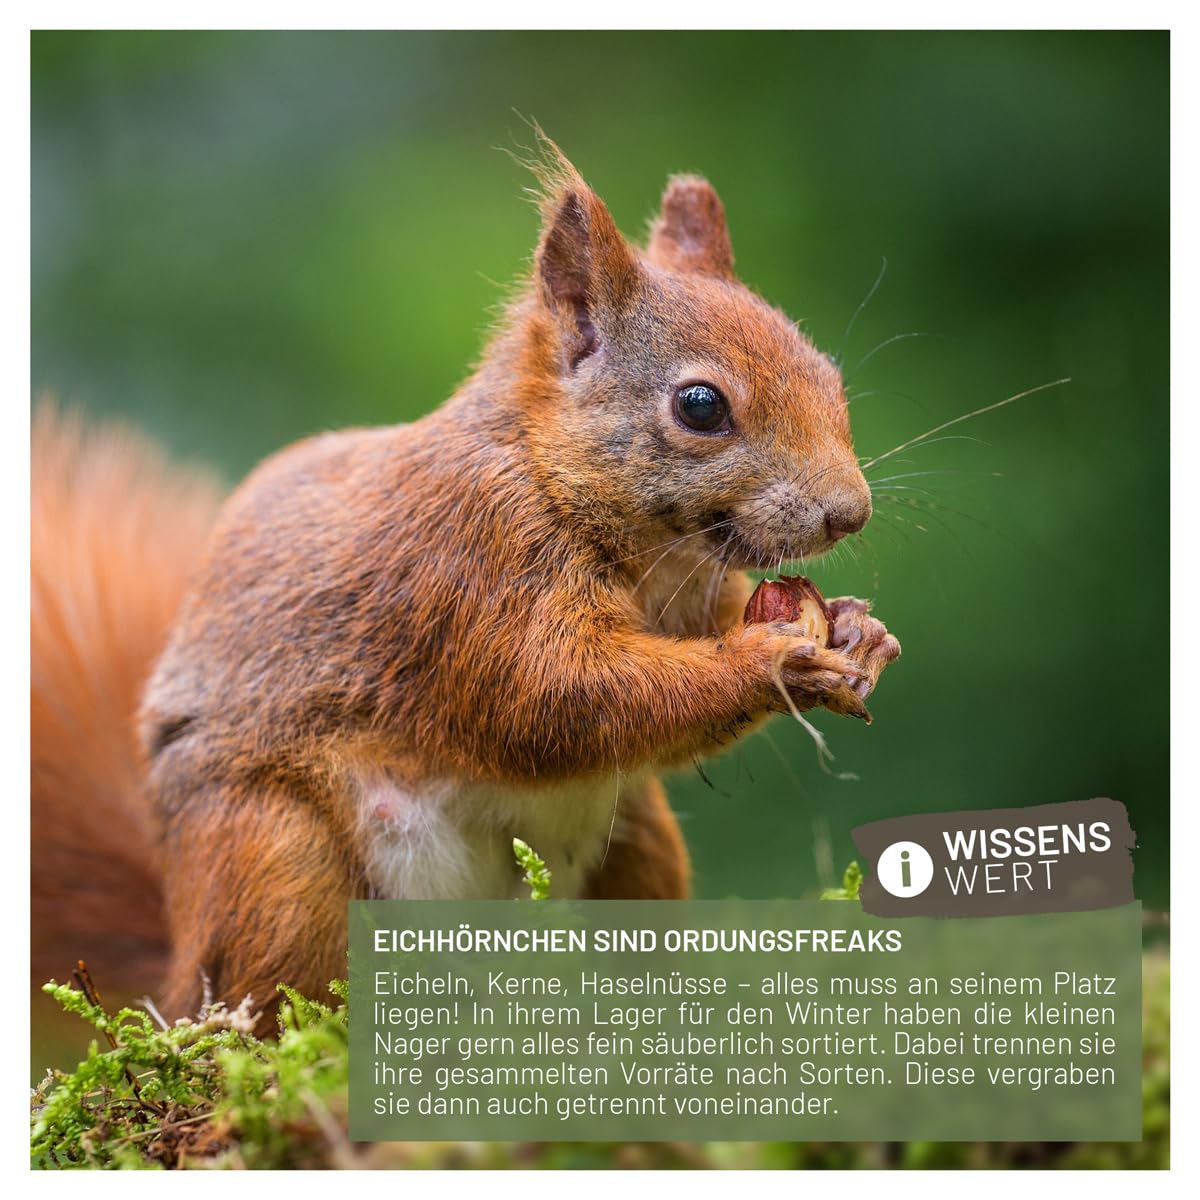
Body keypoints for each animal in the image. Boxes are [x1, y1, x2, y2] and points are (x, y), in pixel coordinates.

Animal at [31, 140, 899, 1028]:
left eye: (827, 374)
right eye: (700, 405)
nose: (850, 513)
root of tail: (175, 984)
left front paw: (860, 634)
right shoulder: (473, 565)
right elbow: (559, 697)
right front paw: (770, 660)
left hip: (639, 843)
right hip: (277, 859)